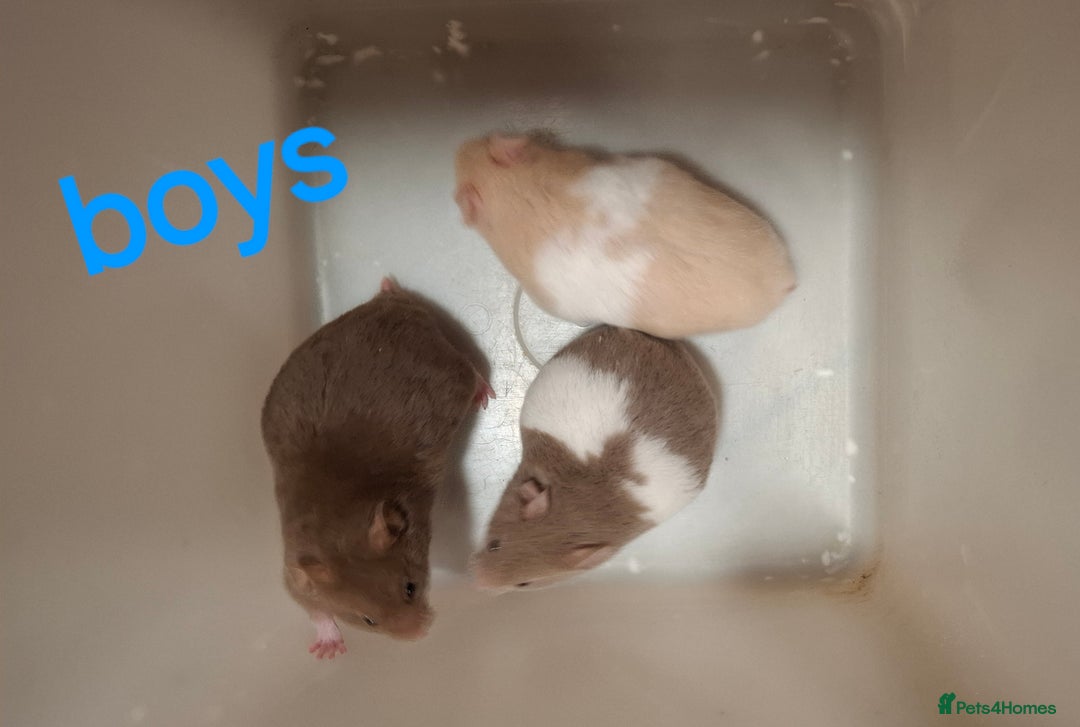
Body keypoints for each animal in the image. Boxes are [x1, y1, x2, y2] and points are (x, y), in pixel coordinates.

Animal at [262, 277, 495, 658]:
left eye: (411, 588)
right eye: (367, 620)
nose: (420, 636)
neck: (337, 521)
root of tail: (391, 308)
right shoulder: (293, 575)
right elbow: (315, 608)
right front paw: (328, 651)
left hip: (450, 377)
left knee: (471, 371)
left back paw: (484, 393)